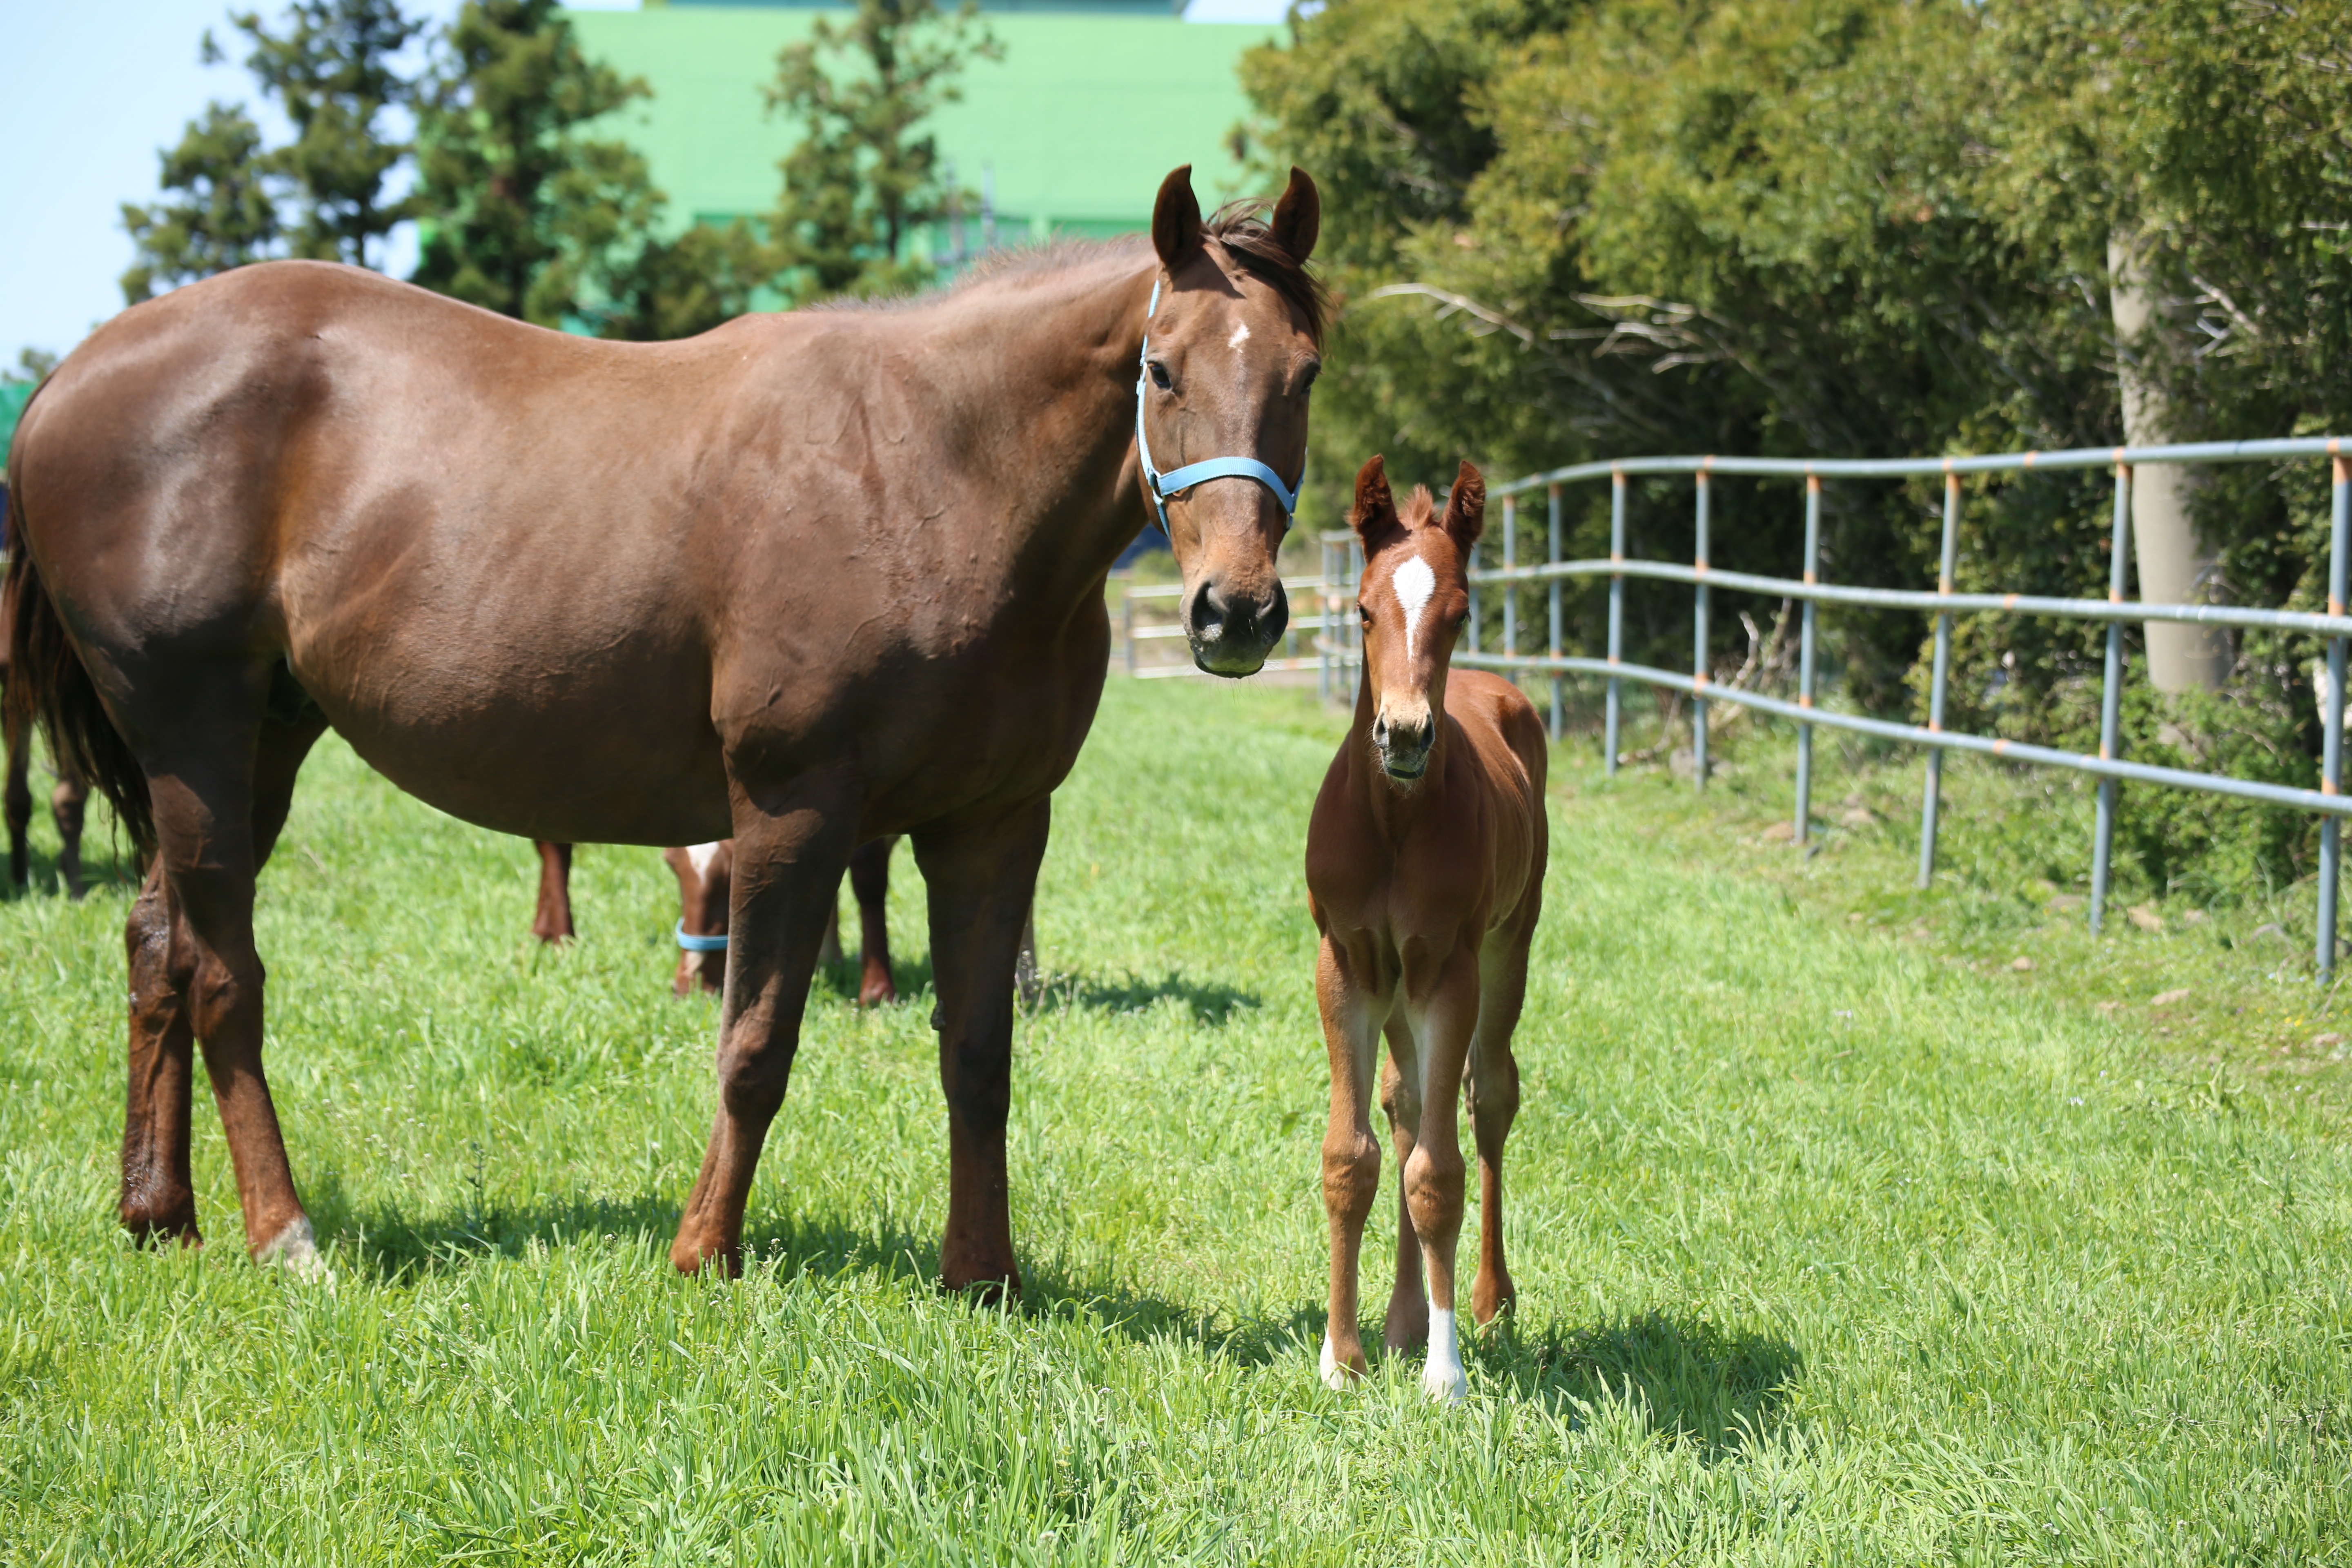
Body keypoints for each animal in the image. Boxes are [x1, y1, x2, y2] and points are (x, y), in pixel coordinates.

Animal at [4, 162, 1326, 1297]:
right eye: (1161, 369)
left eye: (1305, 374)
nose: (1238, 611)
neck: (932, 472)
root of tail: (70, 379)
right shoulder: (793, 804)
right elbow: (756, 1040)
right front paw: (705, 1253)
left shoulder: (992, 823)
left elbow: (978, 1053)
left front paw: (983, 1275)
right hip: (194, 732)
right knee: (226, 975)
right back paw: (284, 1232)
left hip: (260, 744)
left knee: (160, 946)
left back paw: (160, 1210)